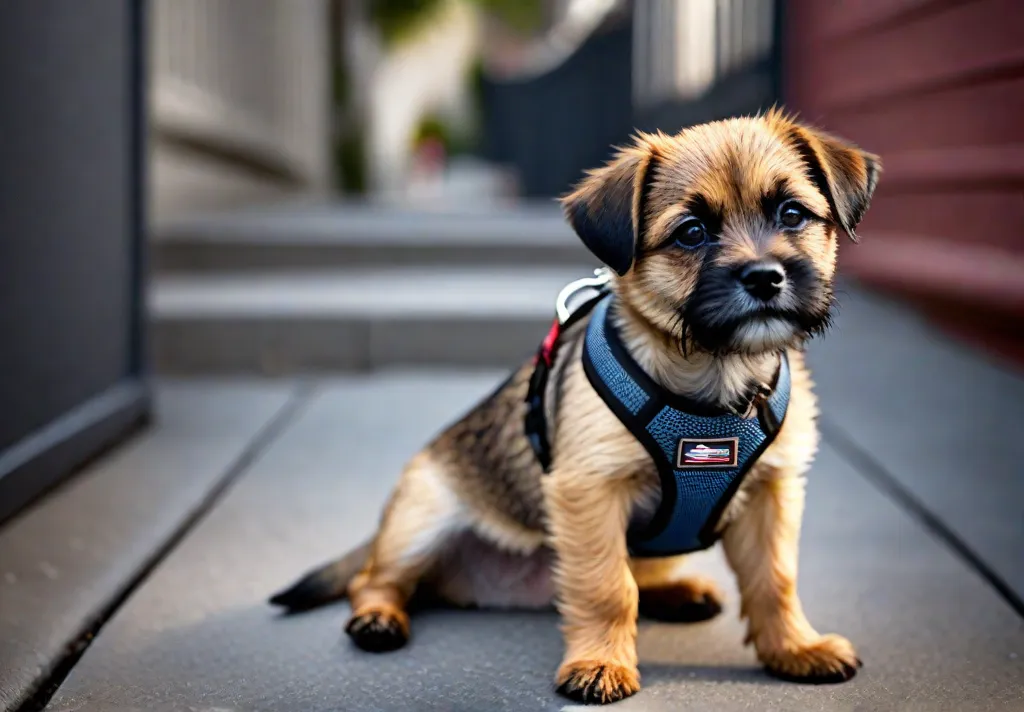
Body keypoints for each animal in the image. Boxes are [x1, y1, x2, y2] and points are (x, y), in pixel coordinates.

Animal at [272, 111, 880, 708]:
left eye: (792, 213)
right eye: (692, 232)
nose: (764, 277)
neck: (713, 381)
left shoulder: (772, 497)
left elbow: (775, 580)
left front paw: (795, 648)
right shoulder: (591, 494)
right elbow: (607, 587)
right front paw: (601, 663)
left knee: (646, 578)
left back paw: (678, 592)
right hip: (421, 521)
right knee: (375, 579)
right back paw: (377, 618)